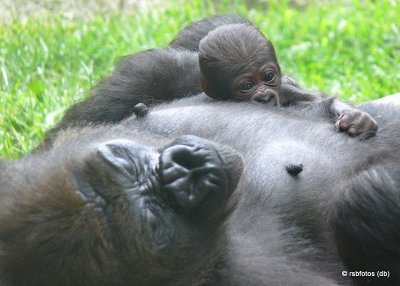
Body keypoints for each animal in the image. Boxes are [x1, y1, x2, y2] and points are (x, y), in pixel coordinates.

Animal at [199, 23, 378, 137]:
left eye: (268, 77)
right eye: (247, 86)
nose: (264, 96)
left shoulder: (284, 89)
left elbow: (316, 100)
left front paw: (356, 118)